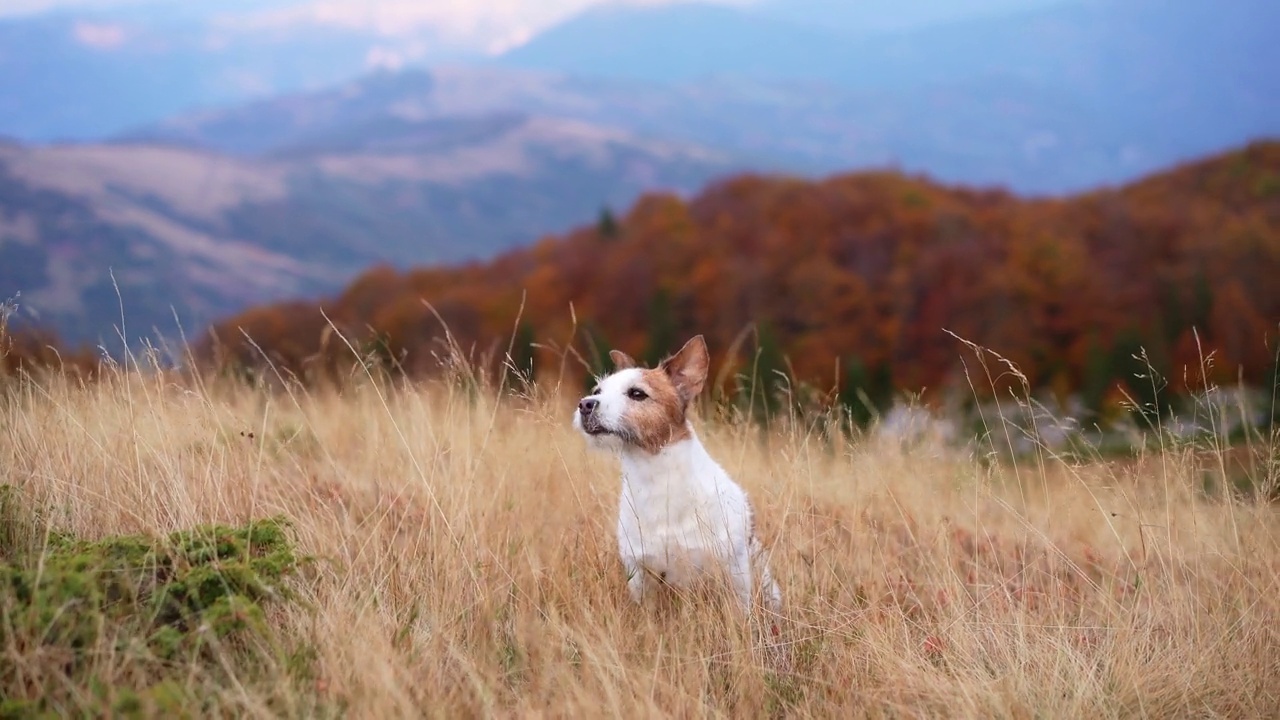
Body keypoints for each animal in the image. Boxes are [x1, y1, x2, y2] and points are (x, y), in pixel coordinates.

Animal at [573, 333, 778, 609]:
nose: (585, 404)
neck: (655, 473)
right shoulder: (640, 575)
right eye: (598, 391)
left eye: (637, 393)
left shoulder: (734, 575)